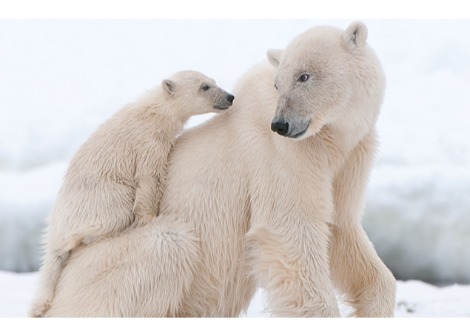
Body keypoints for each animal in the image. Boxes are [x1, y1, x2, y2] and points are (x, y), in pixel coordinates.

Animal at [45, 22, 396, 318]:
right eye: (278, 82)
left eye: (304, 76)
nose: (280, 124)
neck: (330, 137)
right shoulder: (282, 156)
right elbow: (289, 230)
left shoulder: (350, 156)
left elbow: (341, 229)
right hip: (110, 263)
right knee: (167, 244)